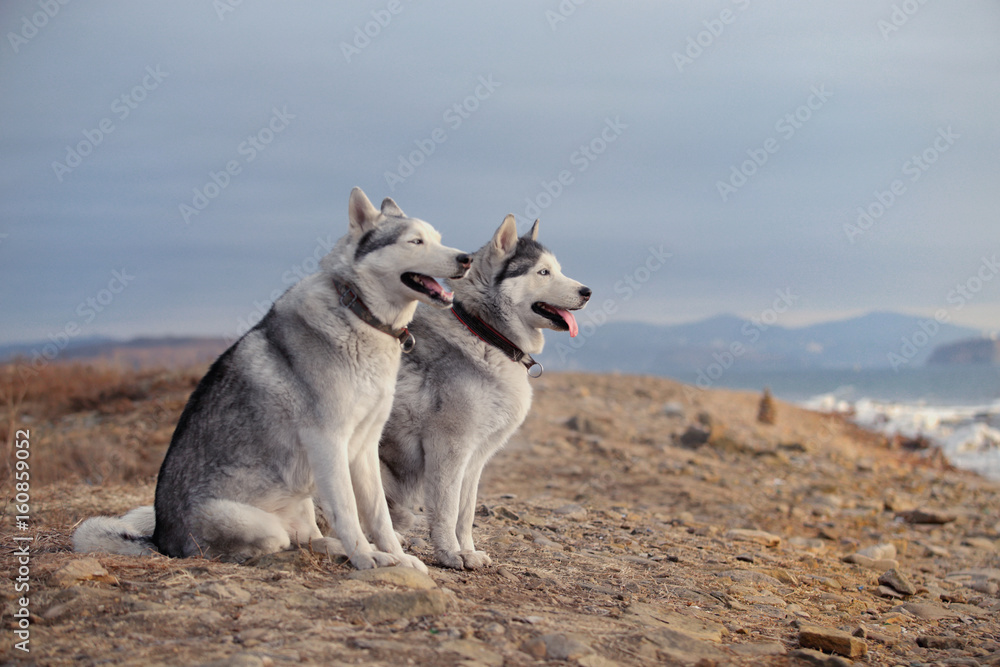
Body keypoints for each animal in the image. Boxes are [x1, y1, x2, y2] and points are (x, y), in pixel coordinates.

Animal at [74, 189, 472, 576]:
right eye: (415, 241)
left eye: (438, 239)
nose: (465, 258)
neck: (359, 313)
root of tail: (159, 539)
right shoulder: (329, 442)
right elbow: (348, 513)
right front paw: (366, 558)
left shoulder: (364, 447)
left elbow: (378, 517)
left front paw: (394, 557)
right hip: (261, 524)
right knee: (277, 545)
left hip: (303, 498)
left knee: (310, 539)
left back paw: (340, 549)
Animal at [378, 217, 588, 572]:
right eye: (543, 272)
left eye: (556, 269)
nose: (587, 292)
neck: (486, 335)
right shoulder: (449, 448)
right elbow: (447, 510)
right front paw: (449, 554)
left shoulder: (475, 458)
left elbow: (465, 512)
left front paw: (468, 550)